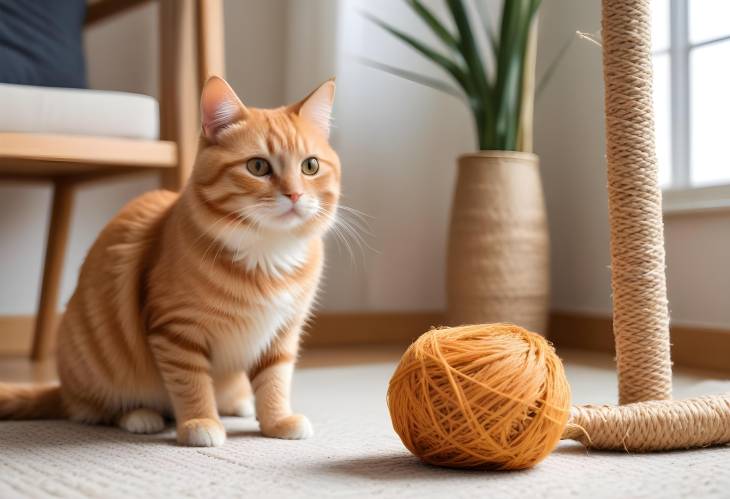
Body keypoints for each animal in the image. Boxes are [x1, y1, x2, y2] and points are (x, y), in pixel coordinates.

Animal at [0, 76, 340, 448]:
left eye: (310, 166)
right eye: (258, 166)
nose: (294, 195)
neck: (268, 253)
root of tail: (62, 389)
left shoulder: (283, 333)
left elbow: (274, 381)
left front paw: (277, 421)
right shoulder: (176, 330)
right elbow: (192, 384)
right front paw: (200, 422)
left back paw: (238, 404)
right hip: (96, 362)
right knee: (93, 409)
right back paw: (139, 416)